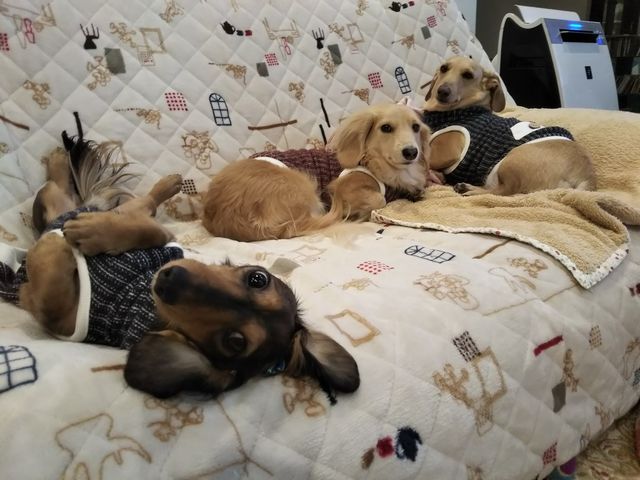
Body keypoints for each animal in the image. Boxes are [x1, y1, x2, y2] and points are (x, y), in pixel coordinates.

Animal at [0, 115, 360, 402]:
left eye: (235, 342)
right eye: (258, 278)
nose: (170, 276)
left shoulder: (58, 314)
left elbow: (49, 284)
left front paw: (58, 246)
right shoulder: (161, 240)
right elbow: (147, 230)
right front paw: (90, 233)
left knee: (66, 201)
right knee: (115, 201)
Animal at [201, 103, 431, 241]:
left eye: (416, 127)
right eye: (386, 128)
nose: (412, 152)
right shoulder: (347, 185)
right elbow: (379, 199)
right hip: (302, 183)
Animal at [422, 56, 596, 196]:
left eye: (468, 75)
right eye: (444, 68)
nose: (442, 91)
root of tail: (586, 179)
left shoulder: (446, 151)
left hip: (509, 161)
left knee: (502, 191)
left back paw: (468, 189)